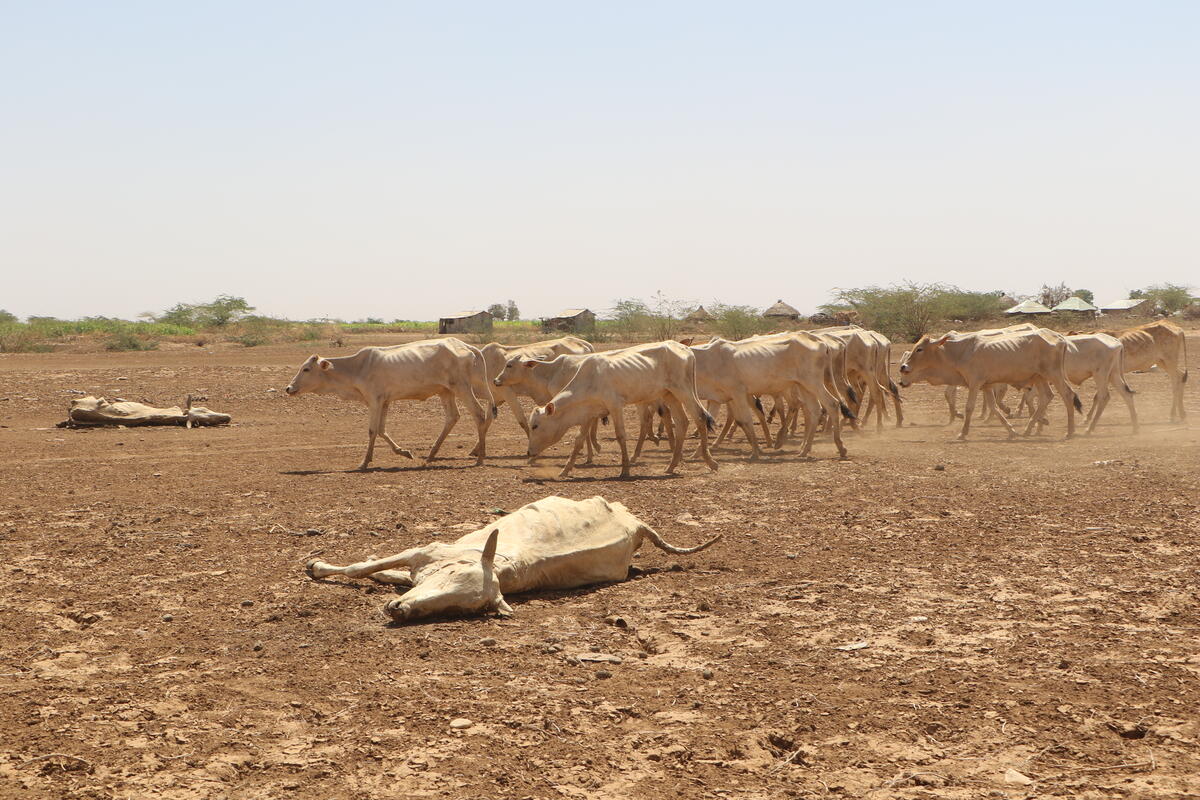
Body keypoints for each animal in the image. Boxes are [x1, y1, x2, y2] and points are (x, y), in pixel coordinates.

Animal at [283, 338, 494, 470]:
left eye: (306, 369)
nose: (288, 388)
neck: (356, 368)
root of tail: (465, 346)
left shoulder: (374, 400)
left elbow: (372, 431)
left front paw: (364, 462)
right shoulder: (384, 401)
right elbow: (382, 430)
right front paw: (404, 452)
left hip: (463, 388)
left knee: (479, 414)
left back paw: (480, 458)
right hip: (446, 391)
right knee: (452, 417)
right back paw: (430, 456)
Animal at [307, 494, 720, 623]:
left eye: (458, 608)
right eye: (449, 578)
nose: (400, 611)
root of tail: (637, 526)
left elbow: (377, 572)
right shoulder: (424, 551)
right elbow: (366, 567)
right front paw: (317, 566)